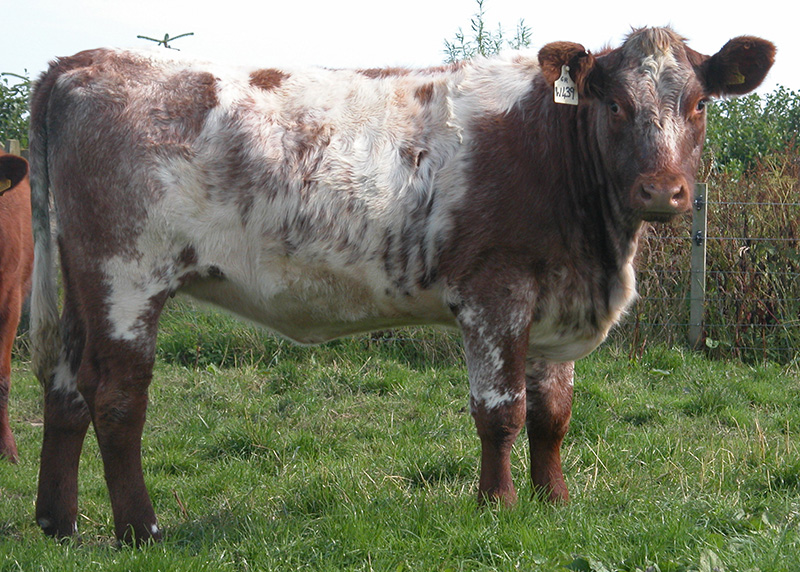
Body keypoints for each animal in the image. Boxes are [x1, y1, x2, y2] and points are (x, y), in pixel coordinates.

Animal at [28, 26, 772, 544]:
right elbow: (500, 410)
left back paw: (57, 524)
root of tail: (84, 62)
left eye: (699, 103)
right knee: (117, 397)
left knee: (65, 387)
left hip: (81, 280)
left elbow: (552, 413)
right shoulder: (495, 292)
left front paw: (554, 501)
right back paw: (140, 530)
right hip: (126, 275)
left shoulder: (552, 301)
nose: (663, 191)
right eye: (615, 104)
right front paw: (497, 505)